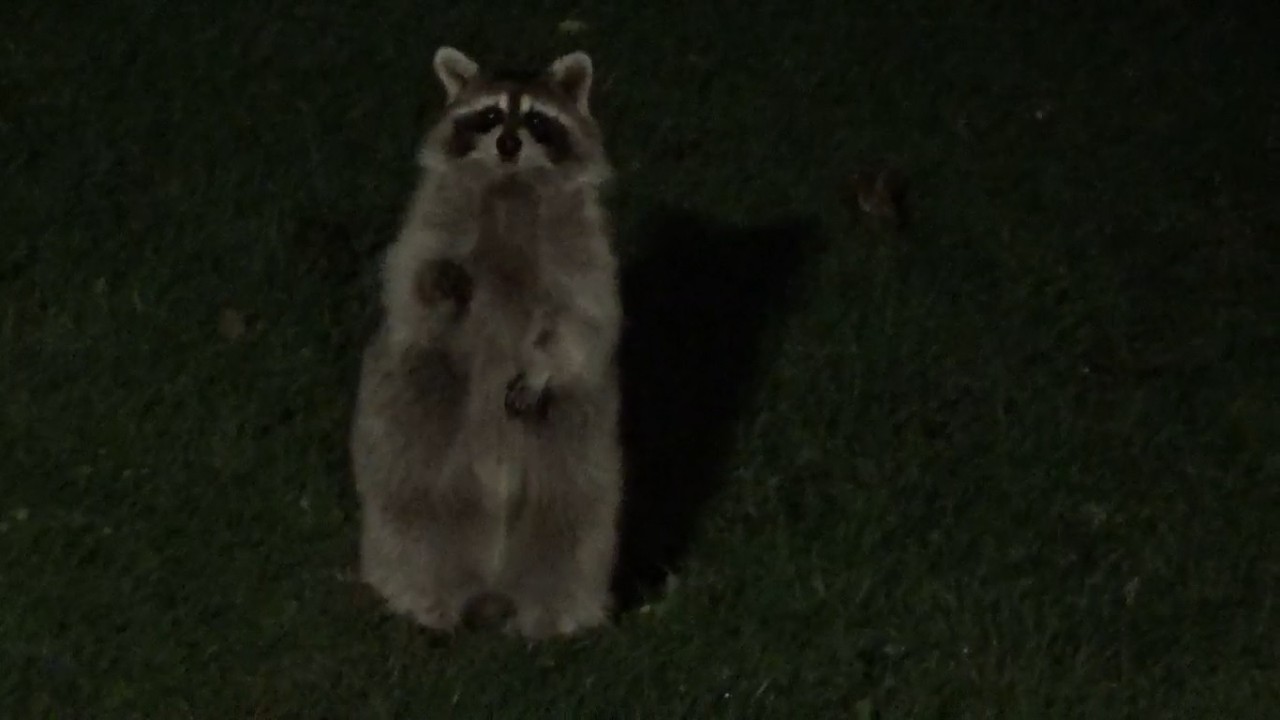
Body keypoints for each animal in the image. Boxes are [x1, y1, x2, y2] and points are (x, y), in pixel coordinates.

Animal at [349, 47, 622, 639]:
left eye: (537, 121)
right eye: (492, 116)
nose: (508, 145)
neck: (511, 185)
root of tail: (492, 580)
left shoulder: (584, 249)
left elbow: (582, 320)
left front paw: (544, 363)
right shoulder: (430, 225)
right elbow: (410, 287)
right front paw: (436, 286)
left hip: (577, 432)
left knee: (575, 518)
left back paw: (554, 613)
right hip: (416, 414)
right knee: (407, 508)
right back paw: (421, 597)